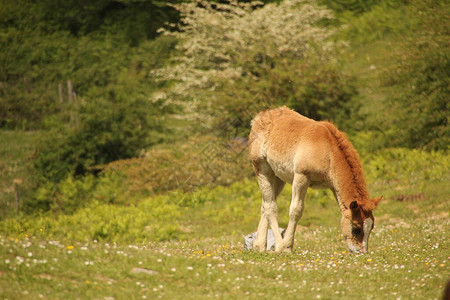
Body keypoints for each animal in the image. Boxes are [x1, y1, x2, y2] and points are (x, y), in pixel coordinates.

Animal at [248, 107, 382, 253]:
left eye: (371, 227)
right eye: (356, 229)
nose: (361, 253)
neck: (327, 151)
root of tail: (259, 117)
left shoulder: (333, 187)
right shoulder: (301, 177)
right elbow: (296, 210)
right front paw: (287, 246)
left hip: (278, 177)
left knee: (265, 204)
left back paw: (259, 245)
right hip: (262, 170)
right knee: (271, 206)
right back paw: (279, 245)